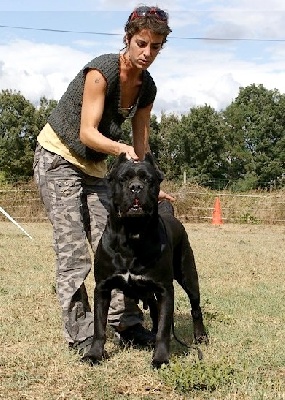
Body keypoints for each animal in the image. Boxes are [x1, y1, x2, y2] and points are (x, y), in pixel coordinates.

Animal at [81, 153, 206, 368]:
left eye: (148, 179)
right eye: (123, 179)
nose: (136, 187)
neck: (132, 233)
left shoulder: (165, 290)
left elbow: (165, 328)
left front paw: (161, 358)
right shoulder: (103, 288)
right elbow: (99, 326)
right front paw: (95, 354)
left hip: (188, 276)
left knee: (195, 307)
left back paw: (200, 336)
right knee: (156, 311)